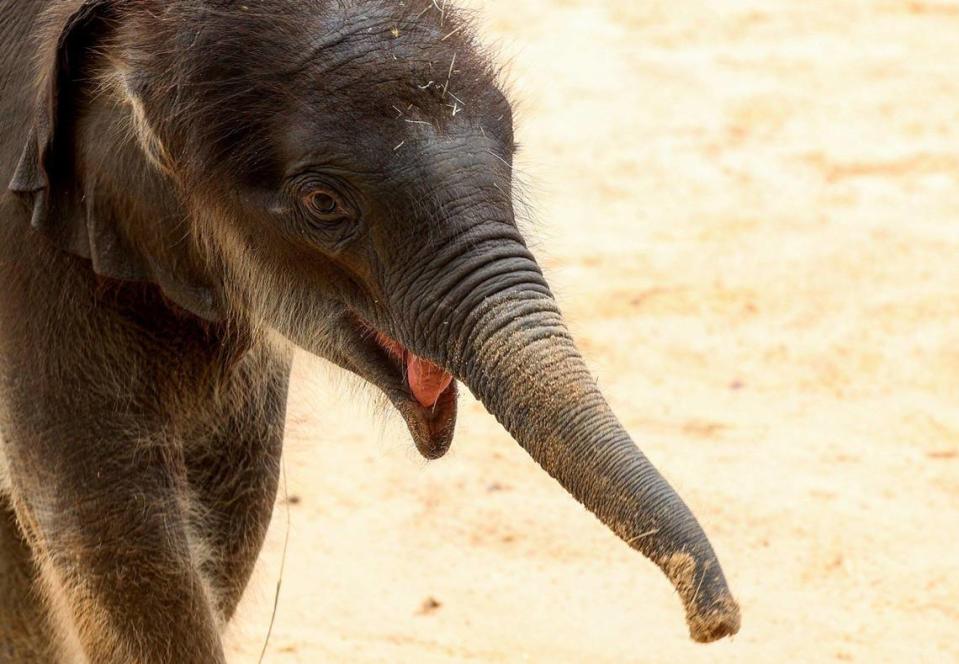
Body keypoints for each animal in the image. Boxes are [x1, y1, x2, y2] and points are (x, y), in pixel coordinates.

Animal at [0, 1, 744, 664]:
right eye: (324, 203)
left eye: (514, 150)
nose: (718, 620)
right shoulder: (25, 265)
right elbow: (114, 528)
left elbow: (233, 498)